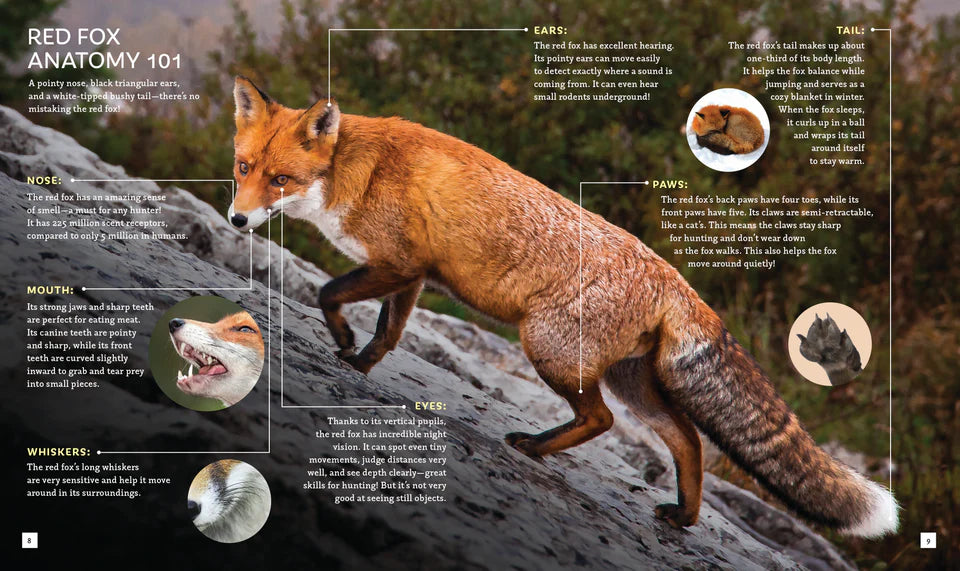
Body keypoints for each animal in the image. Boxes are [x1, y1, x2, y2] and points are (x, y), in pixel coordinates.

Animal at [227, 76, 897, 537]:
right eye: (243, 168)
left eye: (281, 179)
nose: (235, 219)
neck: (358, 171)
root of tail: (676, 281)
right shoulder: (410, 274)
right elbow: (387, 335)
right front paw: (358, 367)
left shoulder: (400, 264)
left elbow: (329, 293)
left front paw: (341, 344)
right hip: (634, 383)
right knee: (688, 442)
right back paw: (683, 518)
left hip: (549, 350)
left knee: (601, 422)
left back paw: (532, 447)